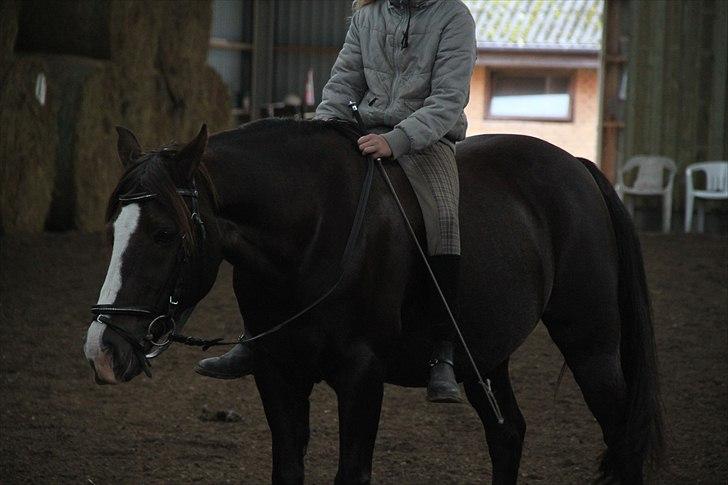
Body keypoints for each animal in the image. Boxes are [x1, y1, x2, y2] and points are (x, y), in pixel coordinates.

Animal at [83, 118, 663, 484]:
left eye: (164, 234)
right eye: (114, 229)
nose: (102, 351)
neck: (313, 231)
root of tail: (578, 167)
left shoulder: (361, 375)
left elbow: (352, 472)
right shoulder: (277, 372)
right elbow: (287, 468)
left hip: (590, 345)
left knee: (624, 442)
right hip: (483, 354)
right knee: (508, 435)